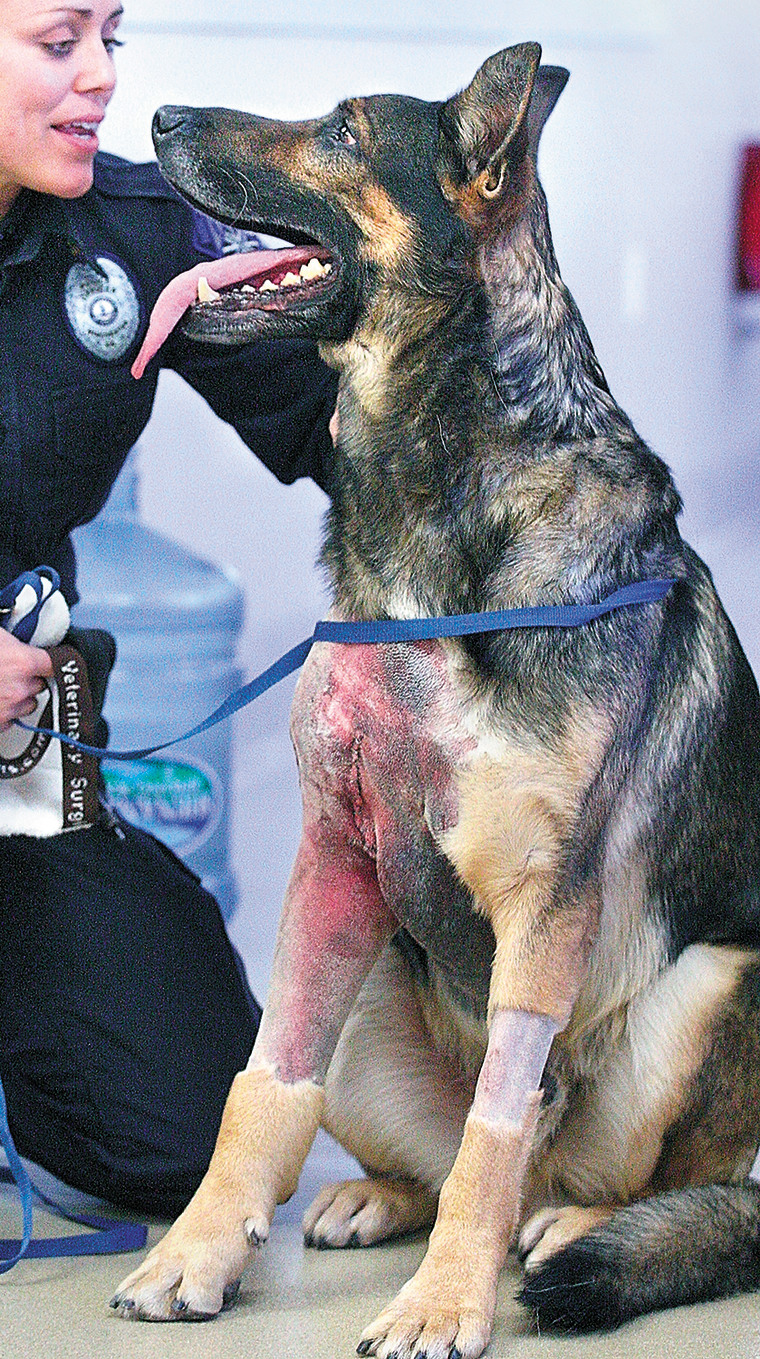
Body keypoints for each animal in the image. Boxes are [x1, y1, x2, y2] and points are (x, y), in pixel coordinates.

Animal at [108, 39, 760, 1348]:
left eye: (343, 132)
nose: (156, 114)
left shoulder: (546, 904)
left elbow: (495, 1132)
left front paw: (448, 1300)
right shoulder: (330, 863)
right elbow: (265, 1085)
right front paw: (199, 1250)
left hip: (712, 982)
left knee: (621, 1172)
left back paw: (567, 1226)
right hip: (369, 979)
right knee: (418, 1139)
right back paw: (377, 1195)